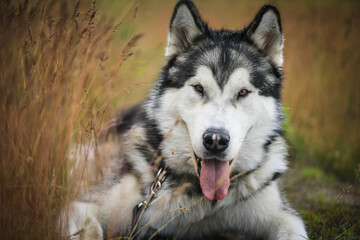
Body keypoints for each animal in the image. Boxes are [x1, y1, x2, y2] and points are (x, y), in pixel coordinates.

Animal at [61, 0, 306, 239]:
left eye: (243, 92)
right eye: (199, 88)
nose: (215, 140)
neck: (200, 196)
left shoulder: (284, 217)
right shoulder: (83, 206)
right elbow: (89, 229)